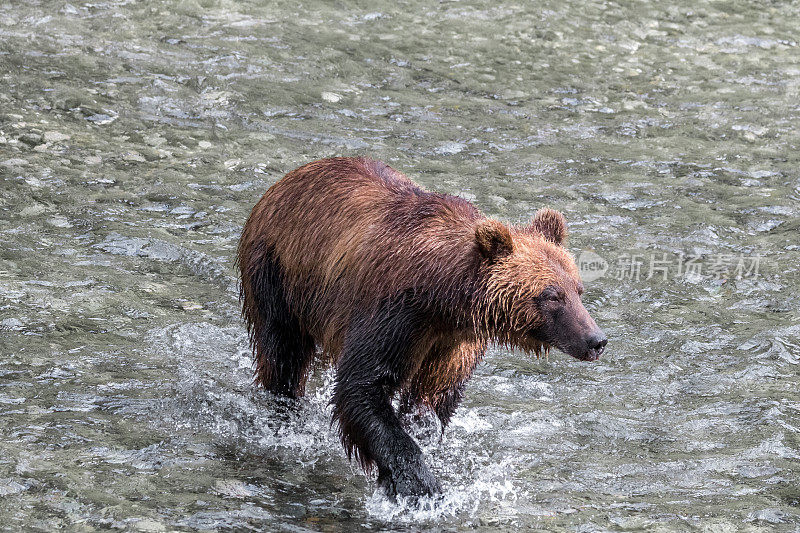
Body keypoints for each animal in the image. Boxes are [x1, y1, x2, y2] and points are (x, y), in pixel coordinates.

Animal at [238, 156, 608, 496]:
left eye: (578, 290)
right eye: (551, 295)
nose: (596, 339)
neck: (442, 298)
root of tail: (286, 179)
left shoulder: (453, 340)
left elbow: (433, 395)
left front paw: (424, 441)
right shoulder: (393, 314)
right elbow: (362, 386)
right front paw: (419, 484)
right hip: (277, 273)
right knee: (283, 353)